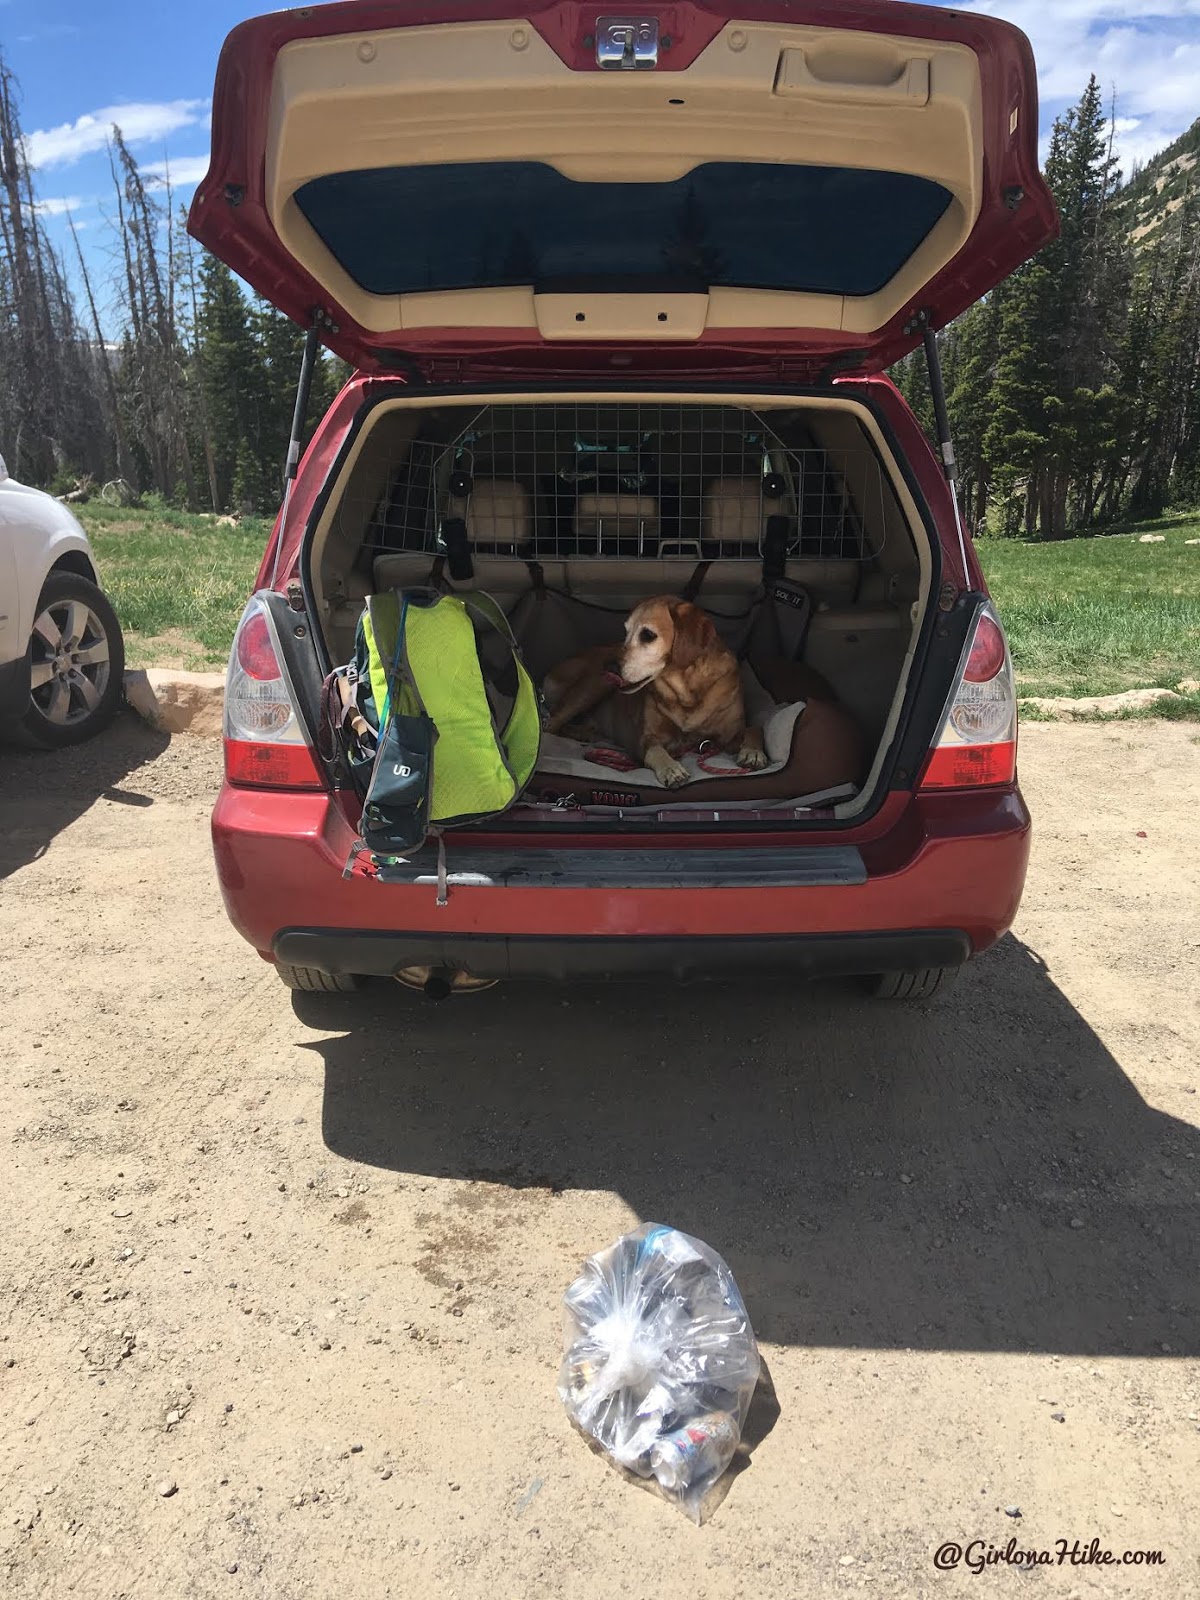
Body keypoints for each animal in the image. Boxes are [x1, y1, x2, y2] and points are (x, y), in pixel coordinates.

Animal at [544, 595, 771, 787]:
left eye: (648, 635)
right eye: (626, 633)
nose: (608, 667)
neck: (685, 693)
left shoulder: (729, 736)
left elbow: (755, 728)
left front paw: (753, 753)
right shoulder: (645, 738)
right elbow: (656, 750)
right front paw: (671, 768)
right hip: (590, 689)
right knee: (551, 724)